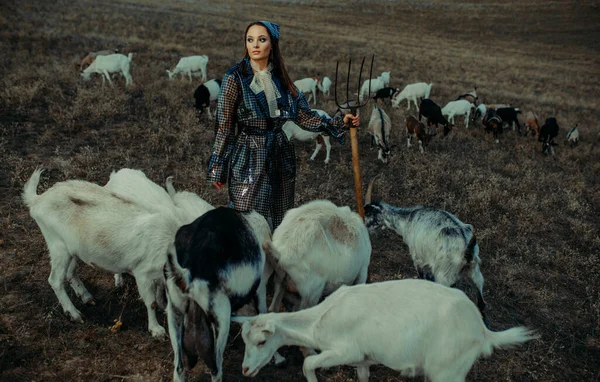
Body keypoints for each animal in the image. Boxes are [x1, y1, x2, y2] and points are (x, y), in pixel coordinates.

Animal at [23, 169, 178, 338]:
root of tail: (38, 200)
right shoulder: (142, 273)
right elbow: (151, 302)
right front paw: (156, 330)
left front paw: (164, 308)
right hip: (57, 245)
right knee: (55, 280)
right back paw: (74, 314)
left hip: (71, 251)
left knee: (70, 272)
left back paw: (86, 297)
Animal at [162, 207, 270, 382]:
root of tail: (188, 270)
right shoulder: (261, 287)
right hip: (221, 317)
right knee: (216, 369)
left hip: (174, 311)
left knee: (179, 368)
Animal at [237, 278, 536, 382]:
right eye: (244, 341)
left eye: (262, 342)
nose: (245, 370)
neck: (320, 318)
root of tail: (482, 330)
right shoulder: (362, 359)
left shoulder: (345, 350)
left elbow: (308, 363)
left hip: (448, 371)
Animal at [360, 181, 488, 322]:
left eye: (368, 214)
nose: (363, 227)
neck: (407, 220)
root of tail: (466, 250)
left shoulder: (418, 258)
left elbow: (423, 278)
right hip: (476, 273)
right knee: (481, 304)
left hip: (444, 275)